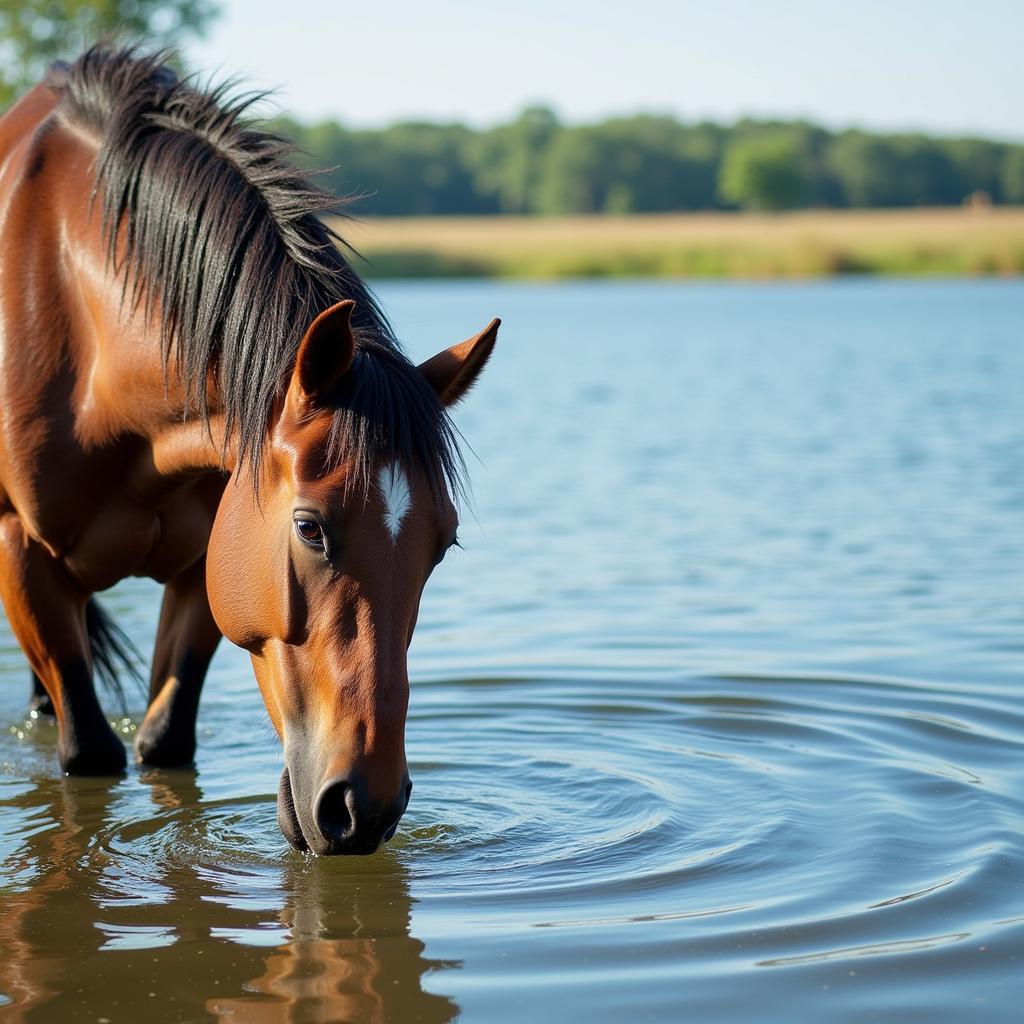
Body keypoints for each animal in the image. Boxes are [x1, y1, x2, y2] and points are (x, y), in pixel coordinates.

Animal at [0, 46, 497, 856]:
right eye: (309, 528)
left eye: (442, 543)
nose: (365, 808)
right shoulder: (21, 554)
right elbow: (91, 754)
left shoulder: (208, 568)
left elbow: (165, 743)